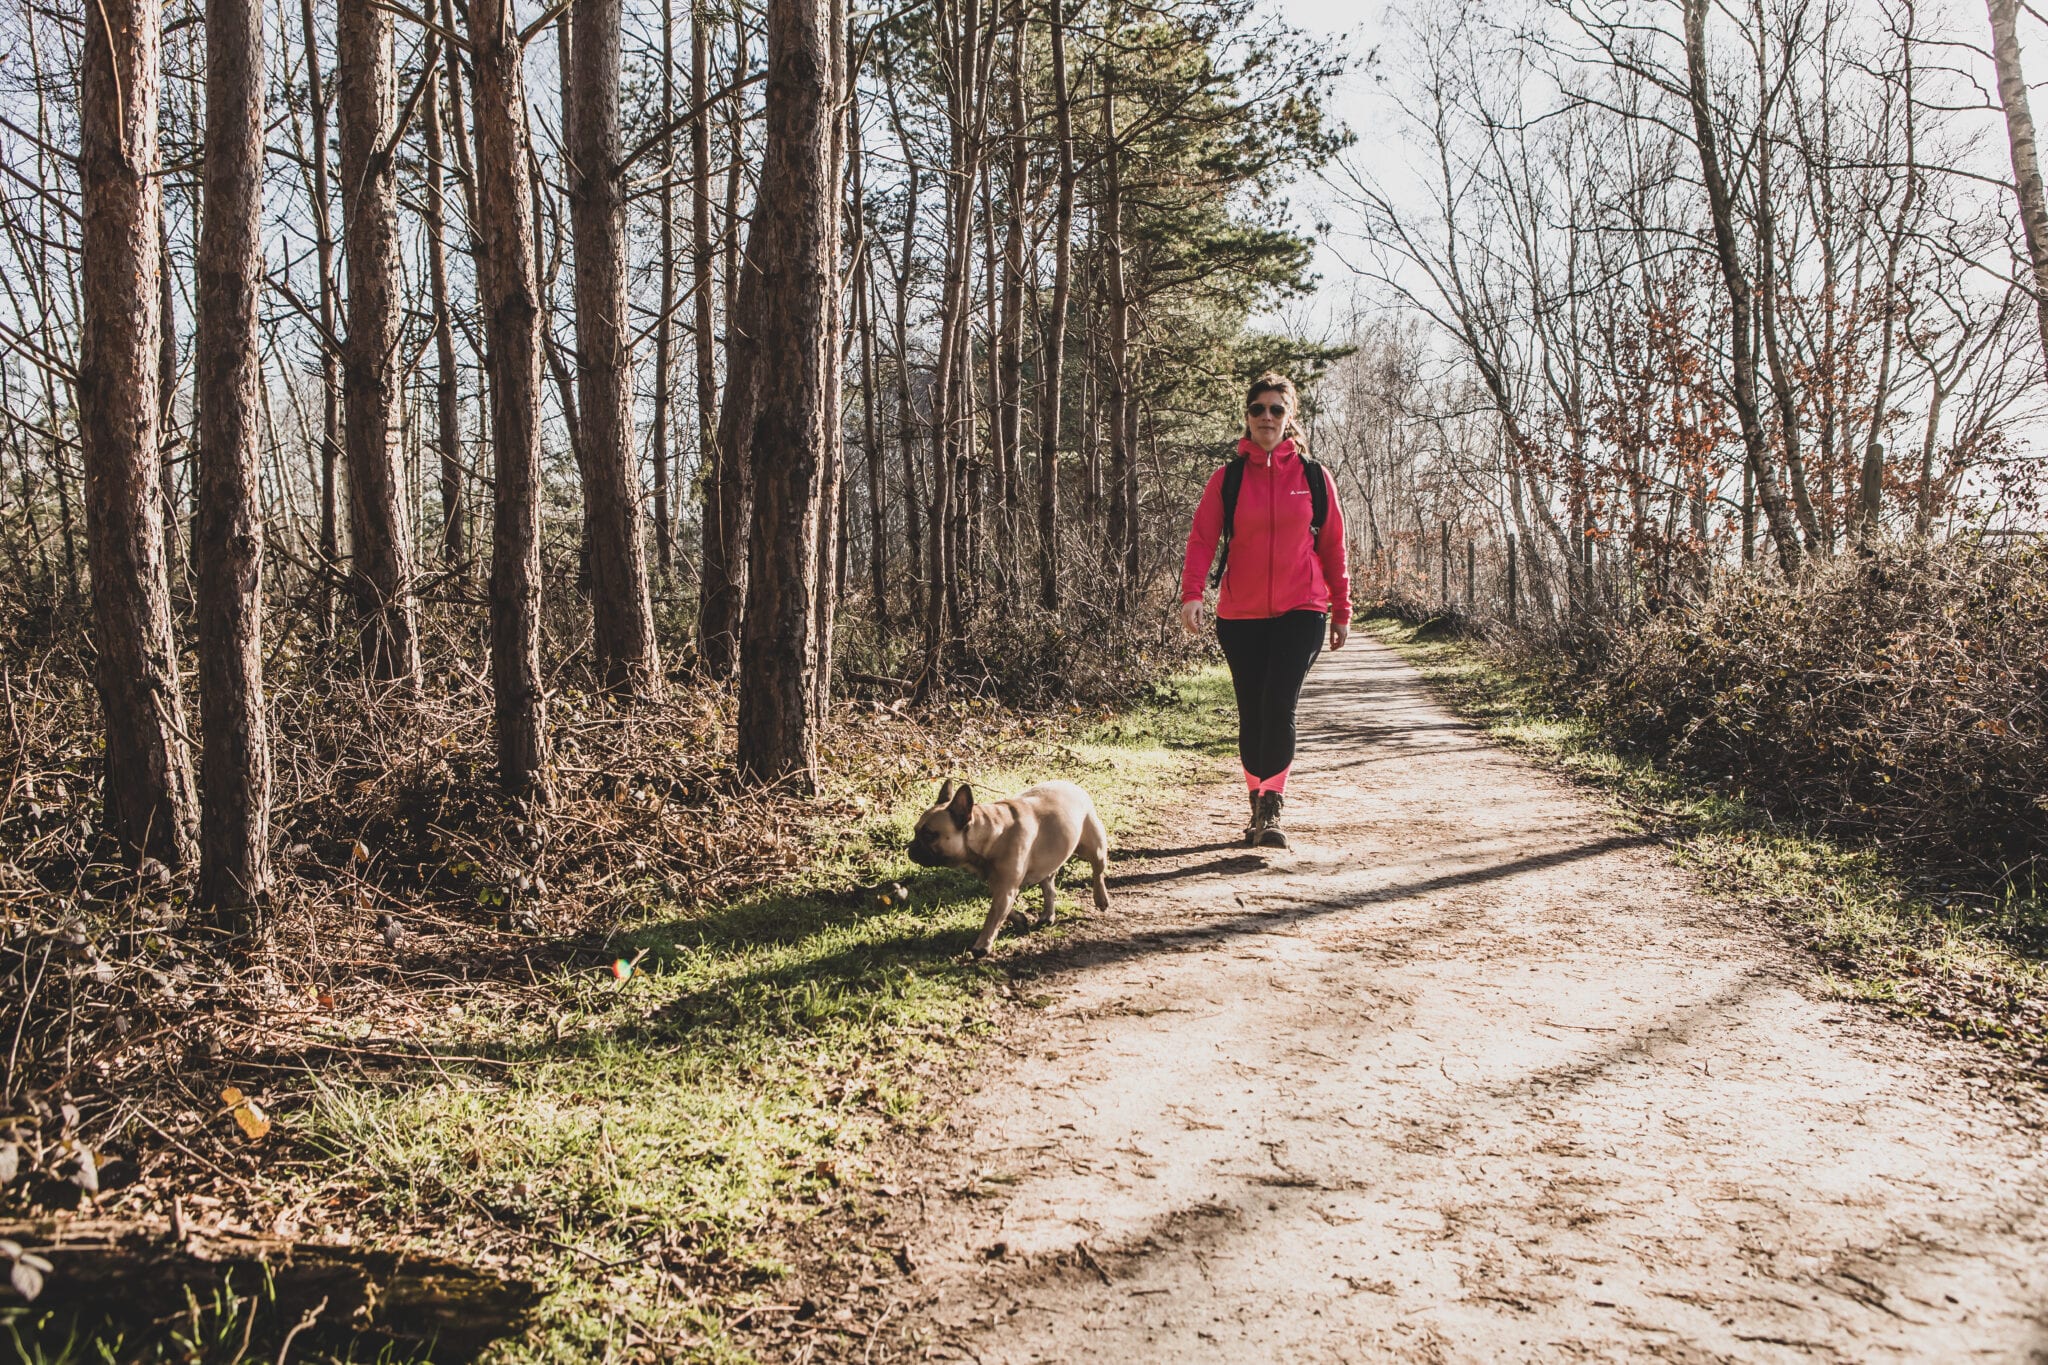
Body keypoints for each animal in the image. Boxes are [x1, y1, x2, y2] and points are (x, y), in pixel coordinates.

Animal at [905, 777, 1114, 961]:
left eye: (930, 835)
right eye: (915, 831)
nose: (910, 848)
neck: (991, 833)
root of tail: (1073, 786)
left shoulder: (1006, 888)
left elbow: (993, 916)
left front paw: (982, 945)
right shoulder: (1000, 884)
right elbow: (1002, 909)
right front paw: (1019, 919)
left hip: (1094, 847)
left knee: (1098, 871)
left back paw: (1101, 899)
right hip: (1050, 860)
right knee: (1049, 887)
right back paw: (1047, 915)